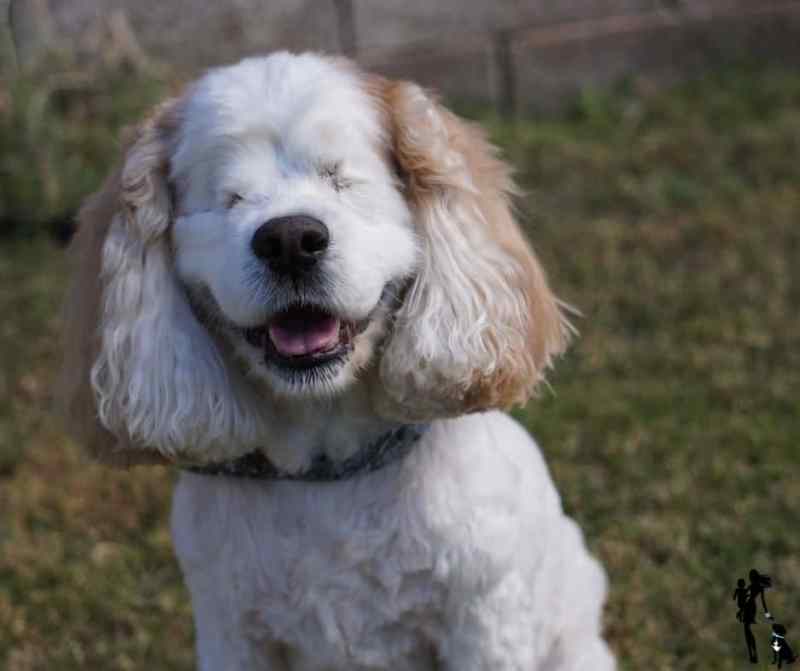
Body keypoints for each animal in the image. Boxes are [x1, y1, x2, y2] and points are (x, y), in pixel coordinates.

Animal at [59, 53, 616, 671]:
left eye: (342, 180)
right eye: (230, 198)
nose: (289, 239)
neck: (328, 471)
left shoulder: (482, 619)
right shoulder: (233, 633)